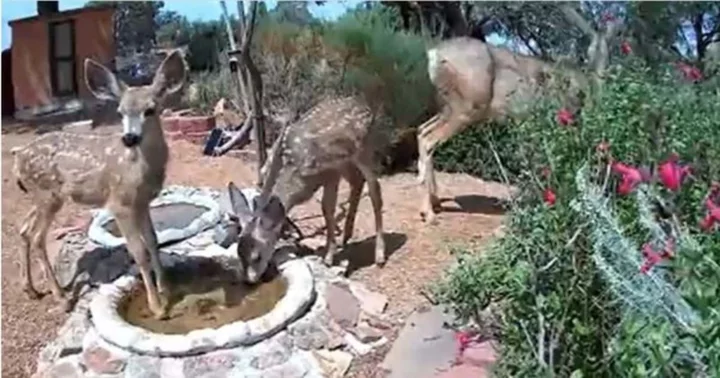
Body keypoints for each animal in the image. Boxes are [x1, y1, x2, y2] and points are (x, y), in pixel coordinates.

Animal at [11, 51, 186, 318]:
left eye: (150, 109)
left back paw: (31, 290)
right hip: (47, 194)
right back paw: (61, 298)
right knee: (38, 237)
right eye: (120, 112)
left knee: (24, 230)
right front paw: (157, 307)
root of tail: (18, 161)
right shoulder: (120, 202)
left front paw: (167, 289)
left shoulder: (142, 202)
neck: (141, 169)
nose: (129, 138)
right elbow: (139, 251)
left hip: (42, 196)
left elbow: (153, 241)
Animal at [225, 96, 386, 282]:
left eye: (257, 256)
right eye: (238, 253)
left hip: (365, 149)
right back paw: (346, 235)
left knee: (375, 188)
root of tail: (364, 105)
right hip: (348, 162)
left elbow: (327, 208)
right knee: (357, 181)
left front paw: (328, 257)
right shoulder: (333, 171)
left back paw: (380, 256)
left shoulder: (331, 172)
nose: (249, 280)